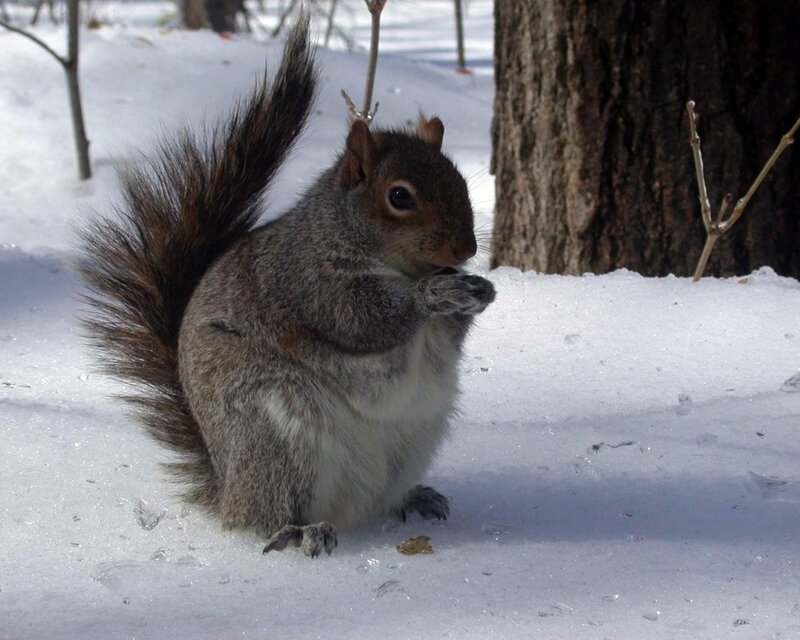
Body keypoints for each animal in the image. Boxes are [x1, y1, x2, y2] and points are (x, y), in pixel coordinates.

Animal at [78, 15, 495, 558]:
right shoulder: (306, 279)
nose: (465, 248)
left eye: (461, 183)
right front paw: (434, 296)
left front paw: (479, 292)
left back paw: (413, 499)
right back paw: (298, 531)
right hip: (276, 439)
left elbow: (448, 338)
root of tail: (227, 489)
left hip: (410, 443)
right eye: (400, 196)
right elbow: (361, 319)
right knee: (264, 517)